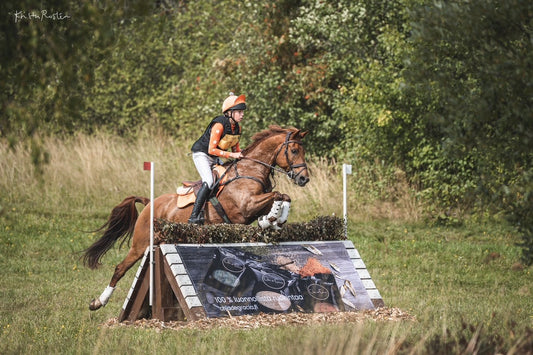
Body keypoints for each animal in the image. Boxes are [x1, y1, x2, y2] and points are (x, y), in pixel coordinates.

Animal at [81, 125, 310, 312]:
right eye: (294, 150)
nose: (304, 179)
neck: (250, 170)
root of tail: (149, 203)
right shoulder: (245, 207)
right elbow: (277, 195)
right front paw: (272, 219)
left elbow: (283, 197)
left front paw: (274, 221)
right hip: (141, 243)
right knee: (120, 268)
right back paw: (98, 302)